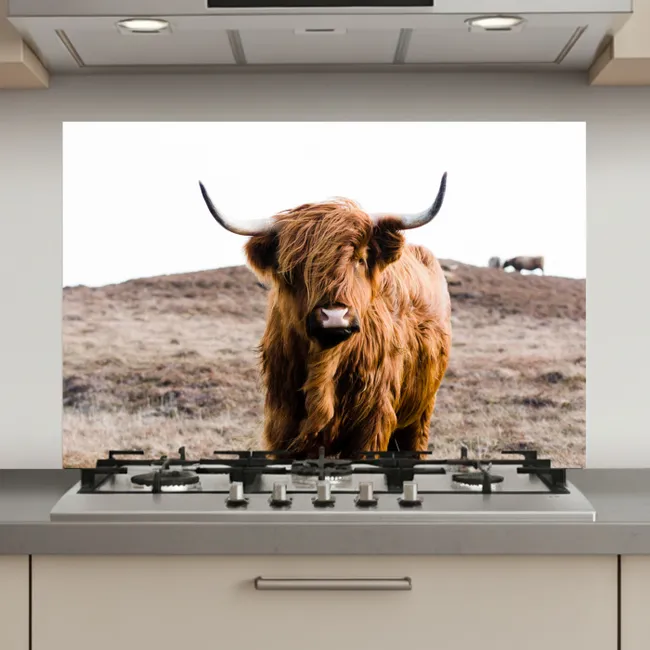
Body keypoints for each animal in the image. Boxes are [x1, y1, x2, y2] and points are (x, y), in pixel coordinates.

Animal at [198, 173, 452, 459]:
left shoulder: (373, 423)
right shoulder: (281, 423)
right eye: (292, 268)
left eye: (360, 259)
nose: (334, 316)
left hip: (421, 411)